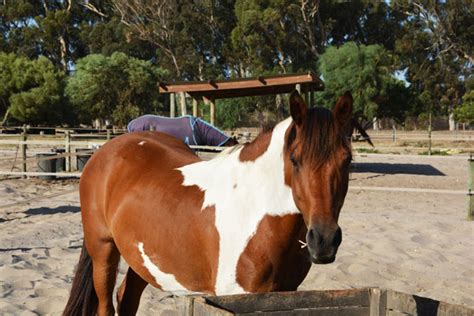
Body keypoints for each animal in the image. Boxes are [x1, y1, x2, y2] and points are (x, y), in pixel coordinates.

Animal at [65, 90, 356, 314]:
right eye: (295, 160)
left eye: (348, 160)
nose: (324, 240)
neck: (257, 211)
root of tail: (106, 151)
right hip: (104, 250)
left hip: (143, 257)